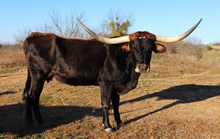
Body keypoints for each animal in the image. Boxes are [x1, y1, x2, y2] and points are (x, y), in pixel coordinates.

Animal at [21, 18, 201, 132]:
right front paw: (108, 126)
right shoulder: (106, 83)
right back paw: (32, 123)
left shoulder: (116, 84)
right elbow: (106, 104)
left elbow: (116, 104)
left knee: (33, 97)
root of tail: (32, 36)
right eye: (134, 48)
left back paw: (37, 121)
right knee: (31, 96)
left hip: (37, 76)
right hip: (38, 75)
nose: (143, 67)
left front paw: (119, 122)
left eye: (150, 48)